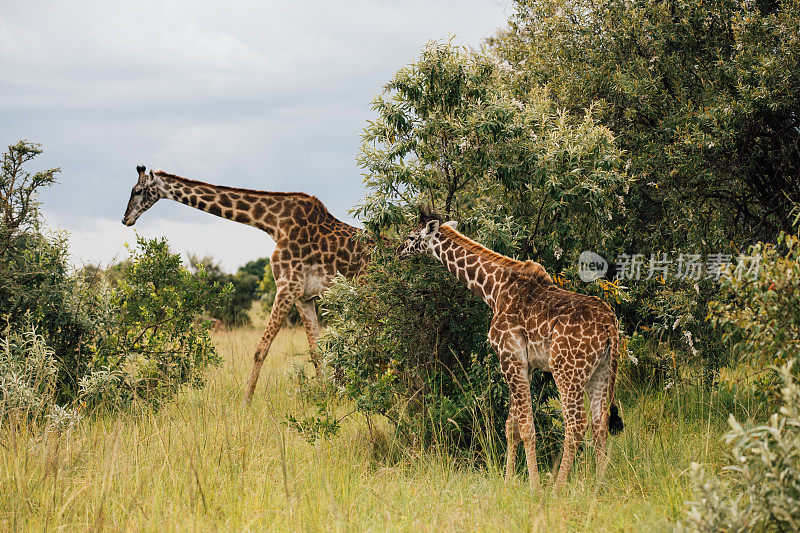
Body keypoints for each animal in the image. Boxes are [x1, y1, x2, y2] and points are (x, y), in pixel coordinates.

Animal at [122, 166, 372, 400]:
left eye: (138, 190)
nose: (126, 219)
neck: (274, 223)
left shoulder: (287, 286)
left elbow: (261, 349)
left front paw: (246, 401)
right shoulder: (303, 296)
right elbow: (316, 351)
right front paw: (327, 396)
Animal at [400, 207, 624, 486]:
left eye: (411, 235)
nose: (399, 250)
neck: (493, 288)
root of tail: (609, 326)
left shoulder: (510, 358)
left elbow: (526, 427)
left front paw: (534, 486)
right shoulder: (524, 366)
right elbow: (511, 426)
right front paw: (508, 482)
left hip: (567, 371)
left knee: (576, 425)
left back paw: (558, 488)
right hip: (602, 370)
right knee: (600, 423)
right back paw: (597, 486)